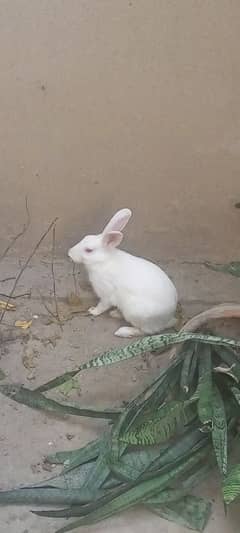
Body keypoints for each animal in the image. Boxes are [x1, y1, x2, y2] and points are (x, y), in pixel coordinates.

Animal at [68, 208, 177, 336]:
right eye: (85, 238)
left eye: (89, 250)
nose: (69, 253)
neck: (103, 260)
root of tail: (167, 319)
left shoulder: (106, 294)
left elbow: (102, 305)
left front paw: (93, 311)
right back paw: (115, 313)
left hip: (135, 313)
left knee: (145, 331)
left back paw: (122, 331)